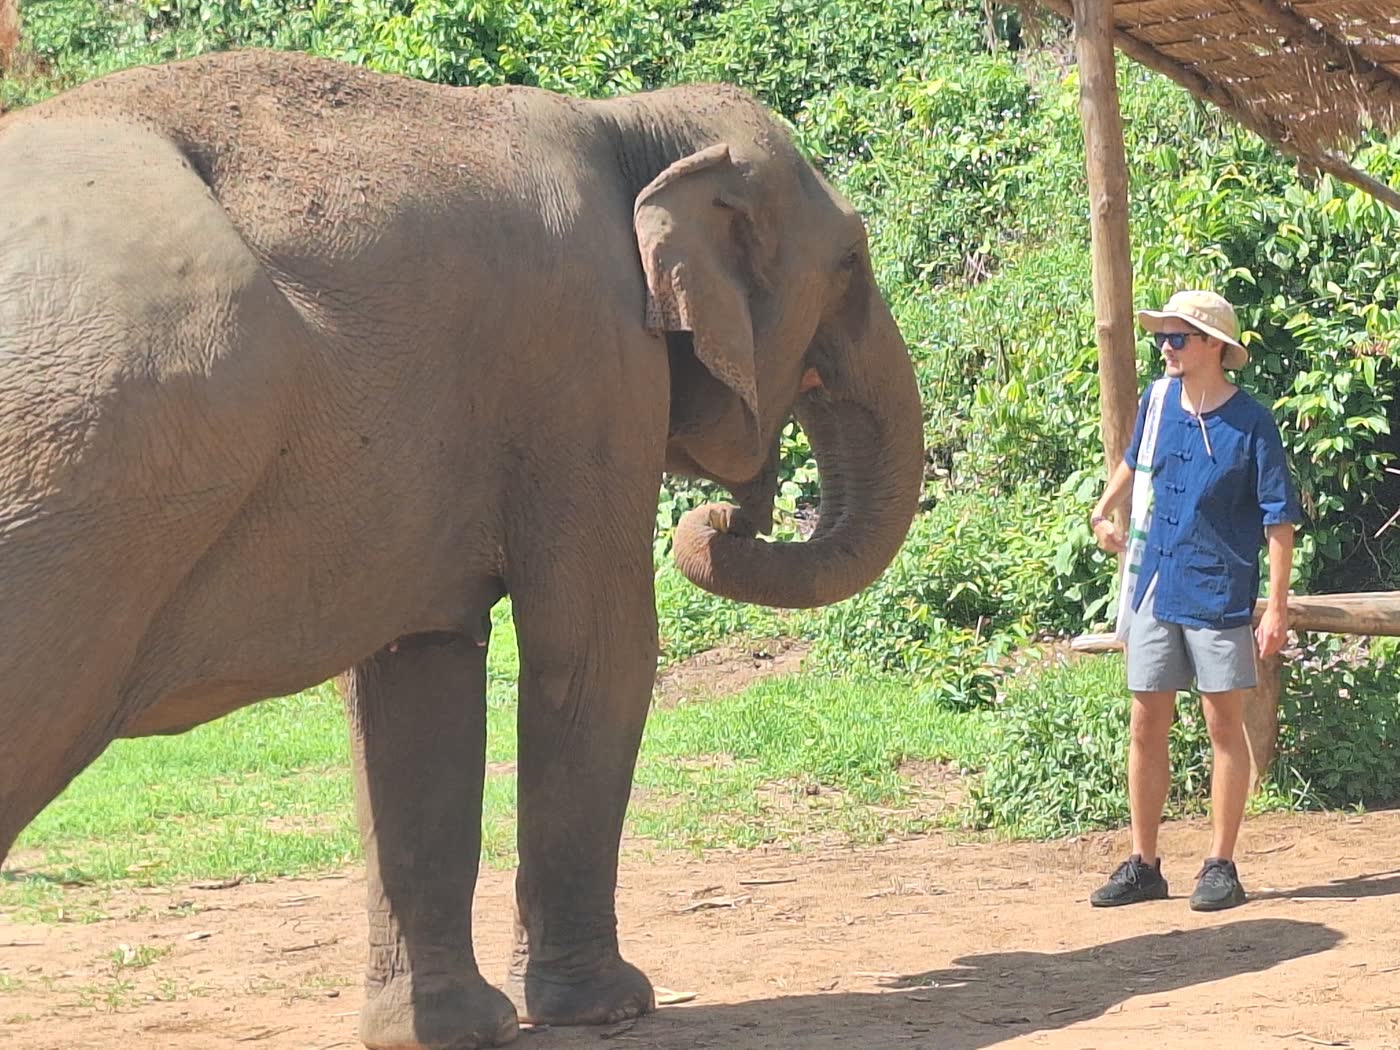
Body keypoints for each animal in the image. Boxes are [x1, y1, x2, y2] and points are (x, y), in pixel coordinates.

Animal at [0, 49, 923, 1049]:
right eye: (851, 262)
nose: (726, 518)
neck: (624, 121)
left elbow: (419, 674)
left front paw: (449, 1029)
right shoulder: (590, 366)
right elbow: (595, 652)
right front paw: (611, 1007)